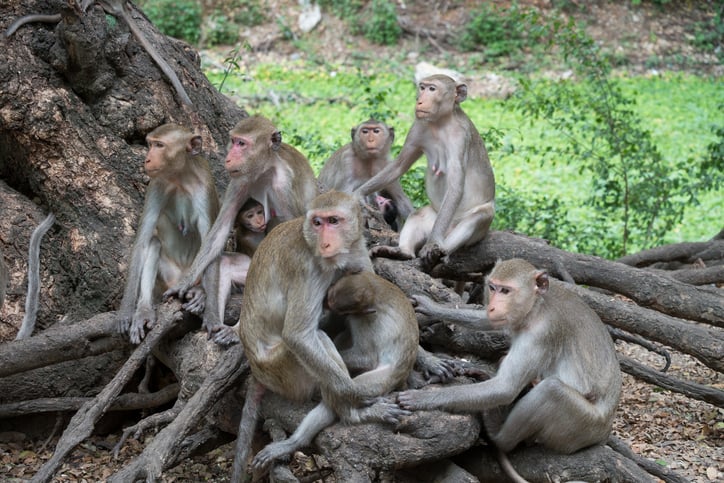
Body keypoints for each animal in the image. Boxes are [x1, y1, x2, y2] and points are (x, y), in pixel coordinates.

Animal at [168, 115, 320, 340]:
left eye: (242, 144)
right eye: (234, 141)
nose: (229, 157)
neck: (265, 170)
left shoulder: (284, 186)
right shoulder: (240, 179)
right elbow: (219, 231)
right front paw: (186, 283)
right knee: (227, 264)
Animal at [232, 191, 410, 482]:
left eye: (333, 221)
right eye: (317, 222)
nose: (325, 242)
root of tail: (257, 371)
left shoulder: (356, 249)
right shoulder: (308, 268)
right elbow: (298, 335)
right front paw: (354, 395)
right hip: (285, 371)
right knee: (317, 342)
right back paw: (354, 414)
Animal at [352, 75, 498, 272]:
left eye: (432, 89)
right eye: (422, 87)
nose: (419, 100)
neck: (440, 123)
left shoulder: (460, 138)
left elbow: (456, 185)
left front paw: (431, 246)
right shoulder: (418, 126)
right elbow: (399, 165)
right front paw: (358, 194)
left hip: (462, 227)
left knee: (480, 216)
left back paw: (437, 254)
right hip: (434, 216)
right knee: (418, 215)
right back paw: (403, 252)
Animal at [396, 260, 624, 460]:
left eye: (506, 291)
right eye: (493, 288)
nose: (493, 307)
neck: (536, 307)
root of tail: (605, 431)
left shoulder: (540, 333)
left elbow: (506, 388)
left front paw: (423, 399)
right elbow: (488, 322)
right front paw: (431, 306)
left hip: (583, 427)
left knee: (551, 391)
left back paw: (499, 435)